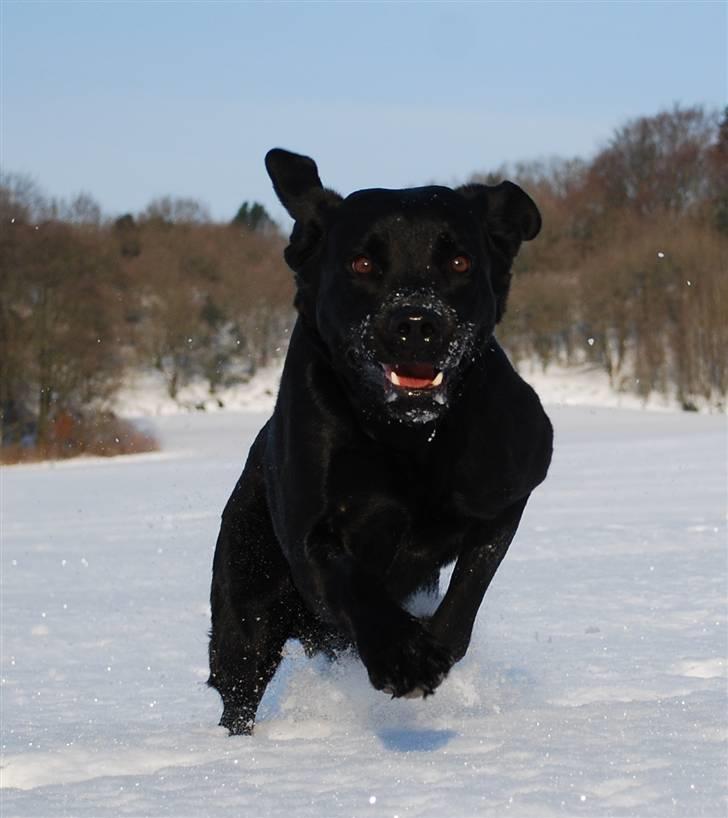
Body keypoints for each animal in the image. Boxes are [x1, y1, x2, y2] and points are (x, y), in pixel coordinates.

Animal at [206, 150, 552, 736]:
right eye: (362, 264)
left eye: (460, 262)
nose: (416, 322)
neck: (409, 439)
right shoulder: (312, 541)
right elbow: (353, 580)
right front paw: (402, 656)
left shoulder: (511, 489)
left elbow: (469, 587)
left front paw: (433, 647)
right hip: (244, 608)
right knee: (240, 687)